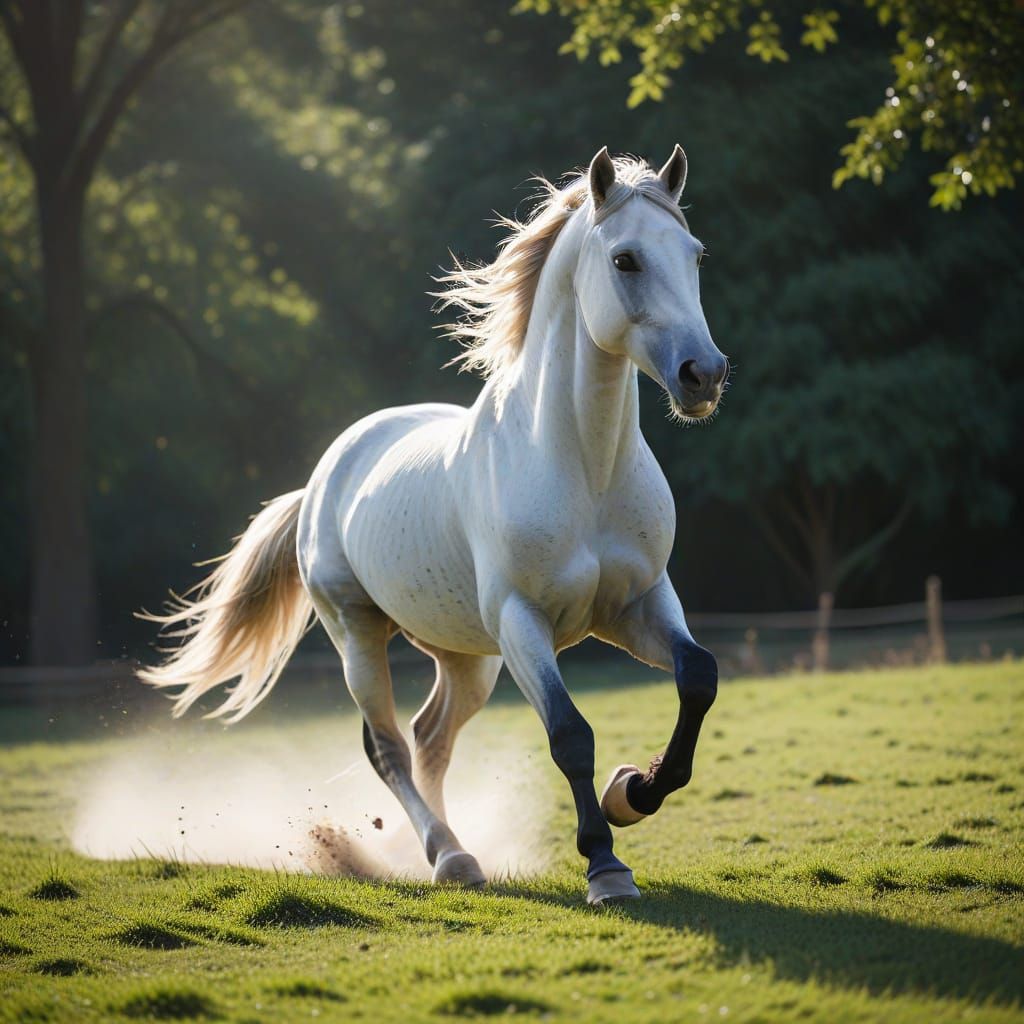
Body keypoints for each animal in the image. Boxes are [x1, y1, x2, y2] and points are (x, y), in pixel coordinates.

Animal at [139, 147, 730, 906]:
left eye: (694, 254)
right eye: (625, 259)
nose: (703, 375)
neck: (582, 466)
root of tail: (324, 476)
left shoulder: (638, 604)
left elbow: (698, 677)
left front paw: (632, 792)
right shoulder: (522, 621)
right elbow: (569, 734)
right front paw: (605, 866)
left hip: (466, 656)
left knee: (430, 738)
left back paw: (449, 849)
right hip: (359, 634)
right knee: (387, 745)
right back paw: (448, 857)